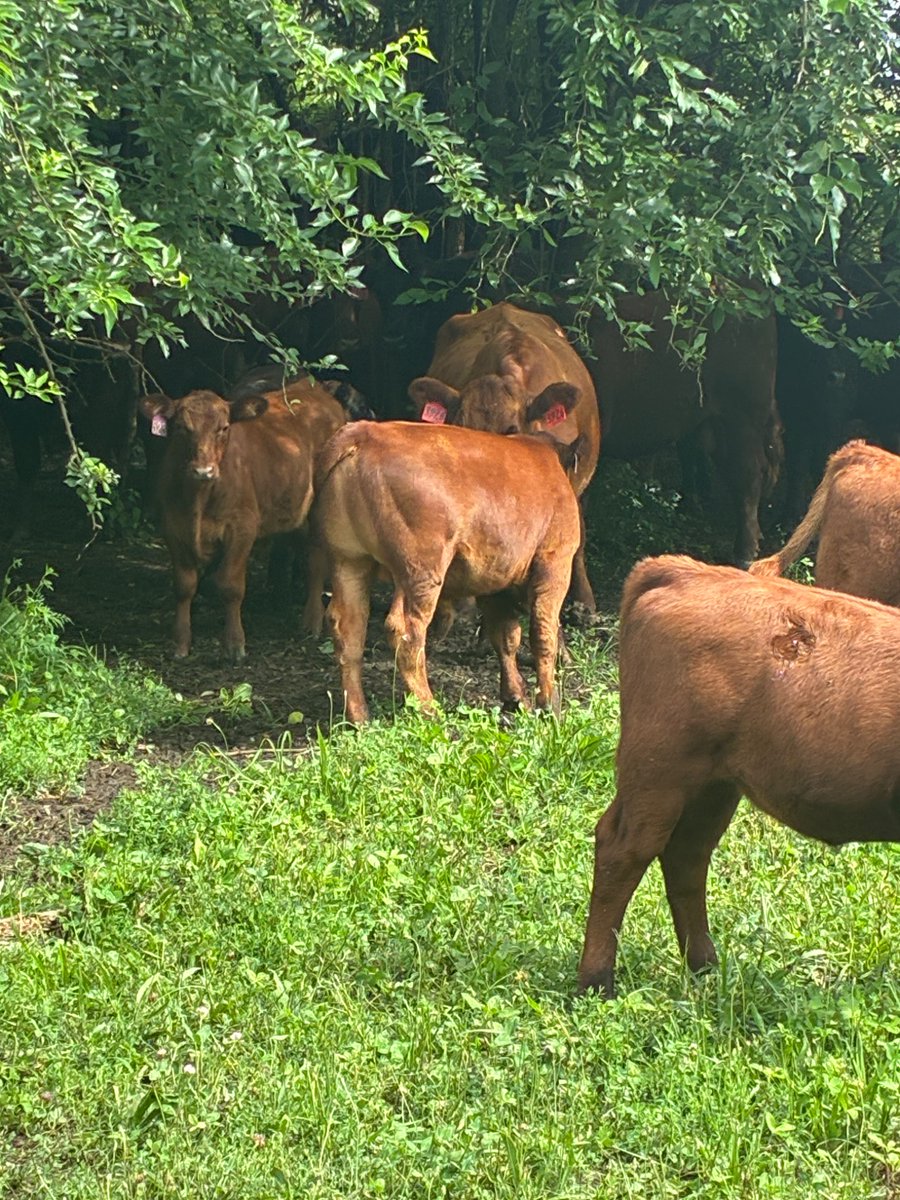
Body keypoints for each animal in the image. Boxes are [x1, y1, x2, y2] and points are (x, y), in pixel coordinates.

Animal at [142, 377, 346, 661]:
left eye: (224, 428)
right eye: (182, 428)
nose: (203, 470)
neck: (198, 499)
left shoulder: (242, 528)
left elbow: (231, 585)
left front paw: (235, 644)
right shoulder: (172, 527)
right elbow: (184, 585)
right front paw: (180, 643)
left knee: (315, 562)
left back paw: (312, 622)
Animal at [311, 413, 584, 724]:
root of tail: (366, 431)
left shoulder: (495, 580)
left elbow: (505, 637)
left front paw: (514, 698)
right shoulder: (555, 560)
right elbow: (543, 633)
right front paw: (549, 704)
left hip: (349, 561)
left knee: (349, 629)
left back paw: (360, 716)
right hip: (421, 570)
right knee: (405, 630)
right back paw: (429, 708)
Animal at [578, 555, 900, 998]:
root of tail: (686, 570)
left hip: (712, 786)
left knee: (686, 855)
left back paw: (705, 967)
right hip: (658, 772)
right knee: (624, 851)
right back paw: (596, 981)